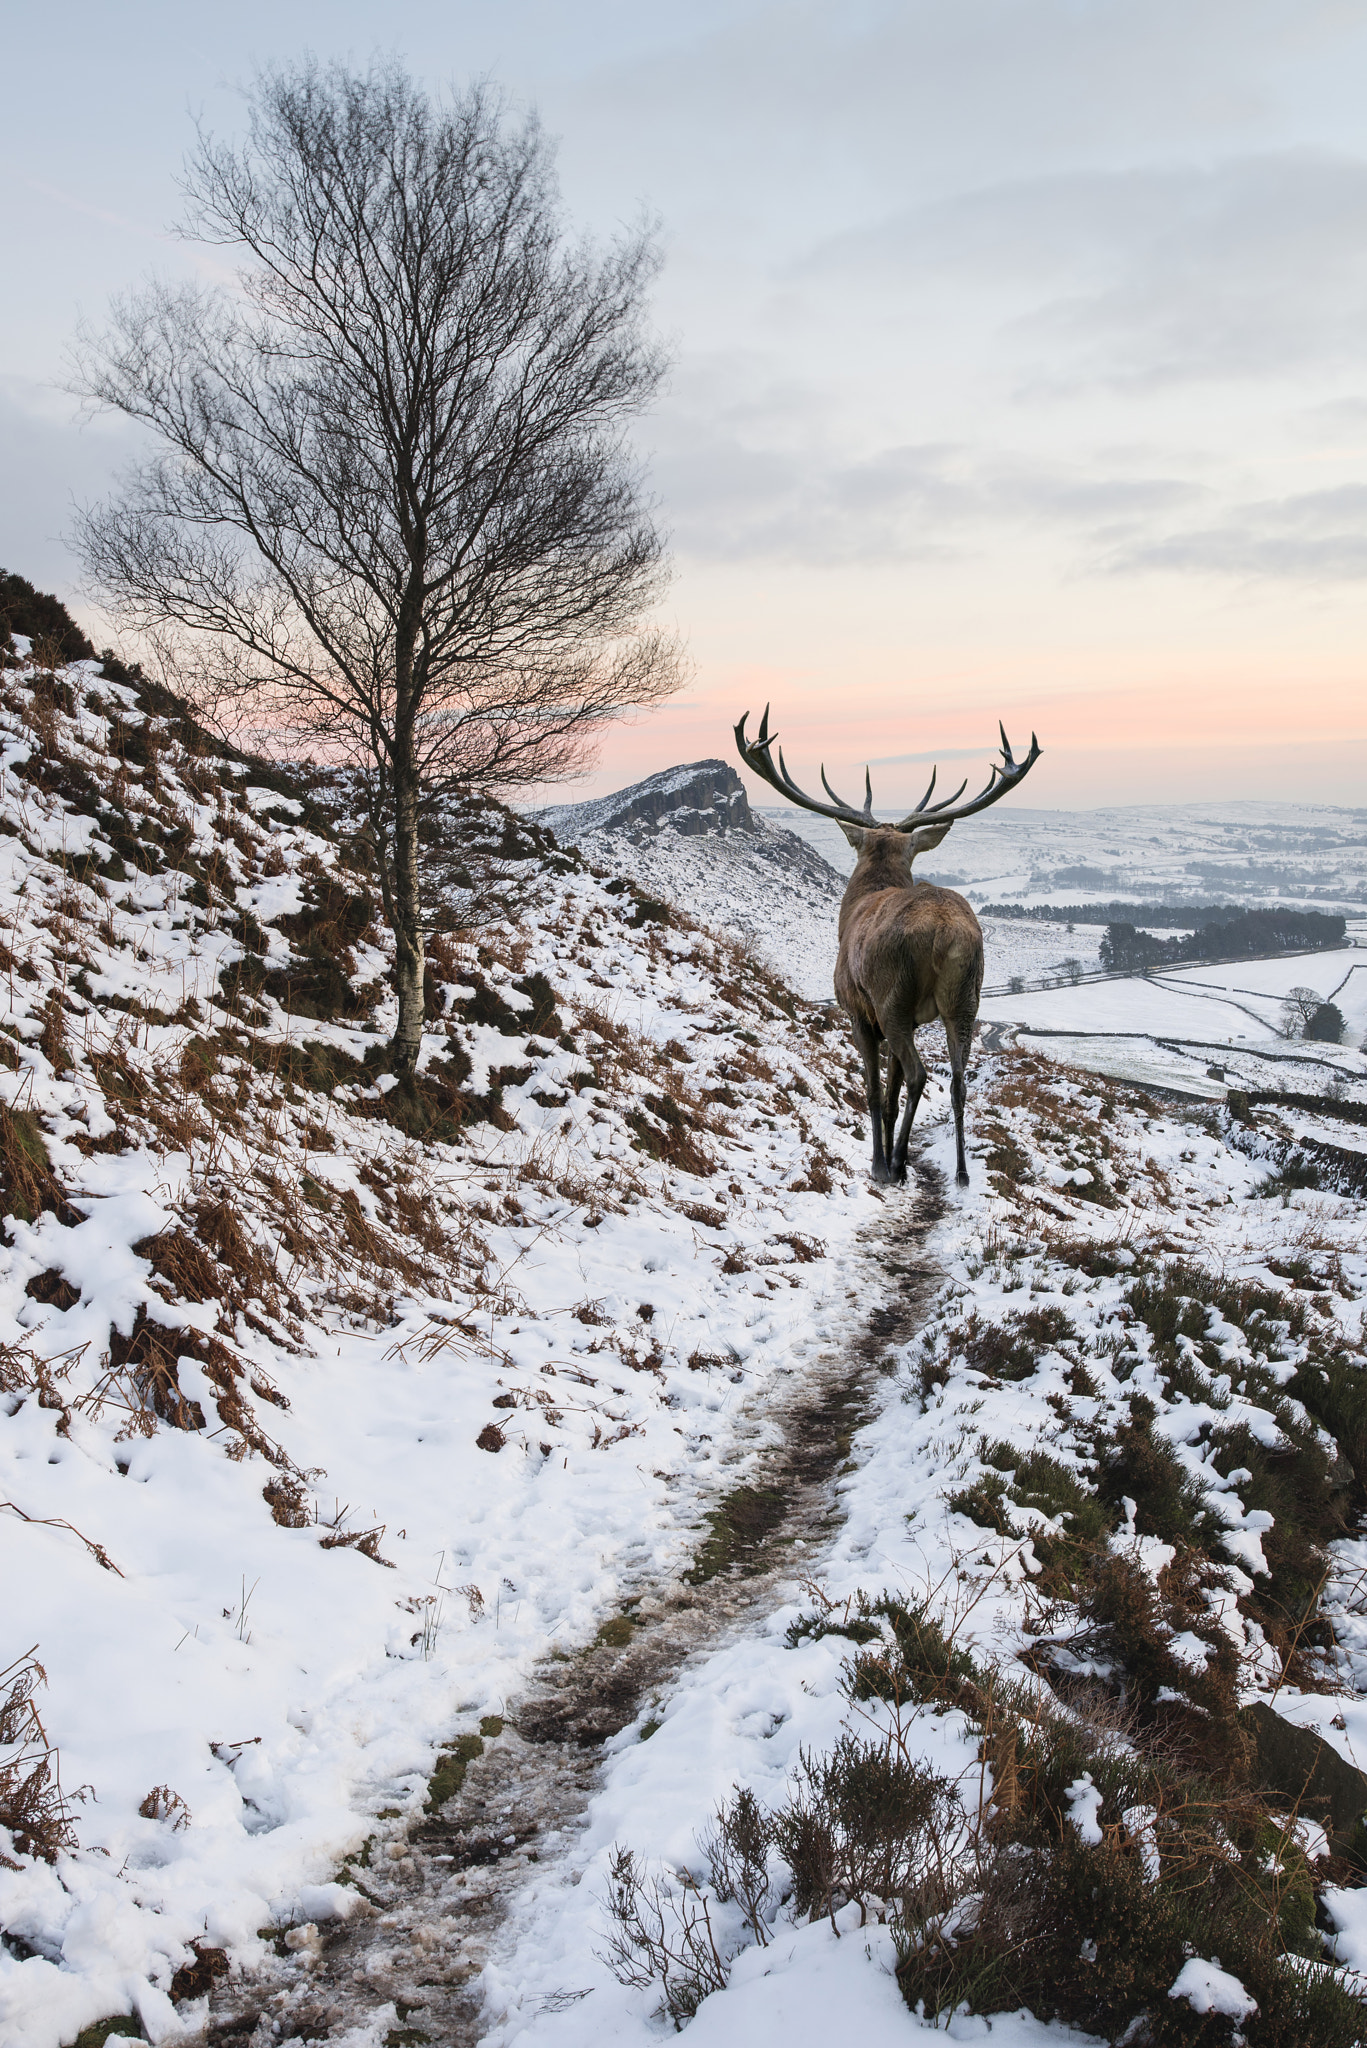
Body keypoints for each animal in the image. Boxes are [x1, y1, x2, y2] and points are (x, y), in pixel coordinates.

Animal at [734, 708, 1041, 1189]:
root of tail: (945, 932)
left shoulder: (859, 1012)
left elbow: (877, 1093)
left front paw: (878, 1163)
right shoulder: (915, 1018)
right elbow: (894, 1097)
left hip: (893, 996)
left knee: (920, 1074)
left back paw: (894, 1164)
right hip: (965, 998)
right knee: (958, 1080)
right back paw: (960, 1173)